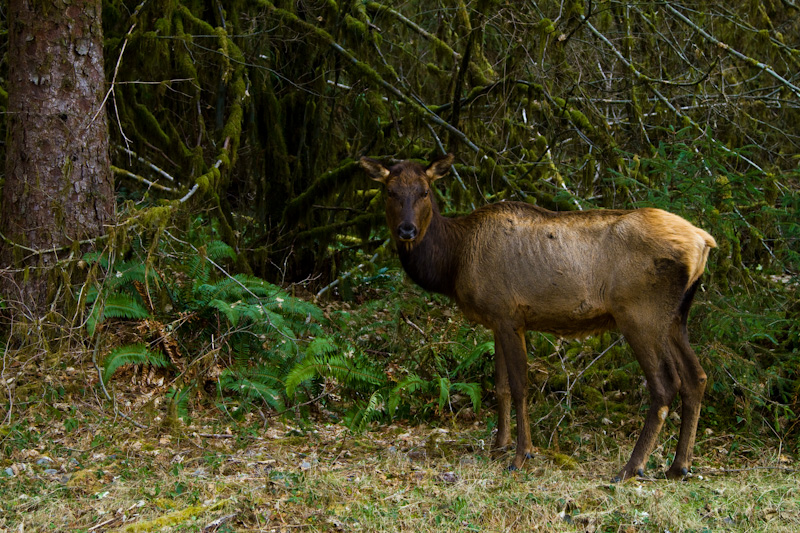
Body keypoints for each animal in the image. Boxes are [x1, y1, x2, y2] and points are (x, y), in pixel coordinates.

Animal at [360, 152, 716, 480]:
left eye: (424, 191)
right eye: (390, 191)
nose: (407, 230)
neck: (453, 261)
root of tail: (704, 241)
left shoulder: (508, 314)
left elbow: (519, 386)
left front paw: (521, 456)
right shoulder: (497, 321)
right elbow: (500, 386)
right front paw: (498, 447)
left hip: (640, 315)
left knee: (666, 384)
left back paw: (631, 467)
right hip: (676, 318)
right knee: (696, 377)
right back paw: (679, 466)